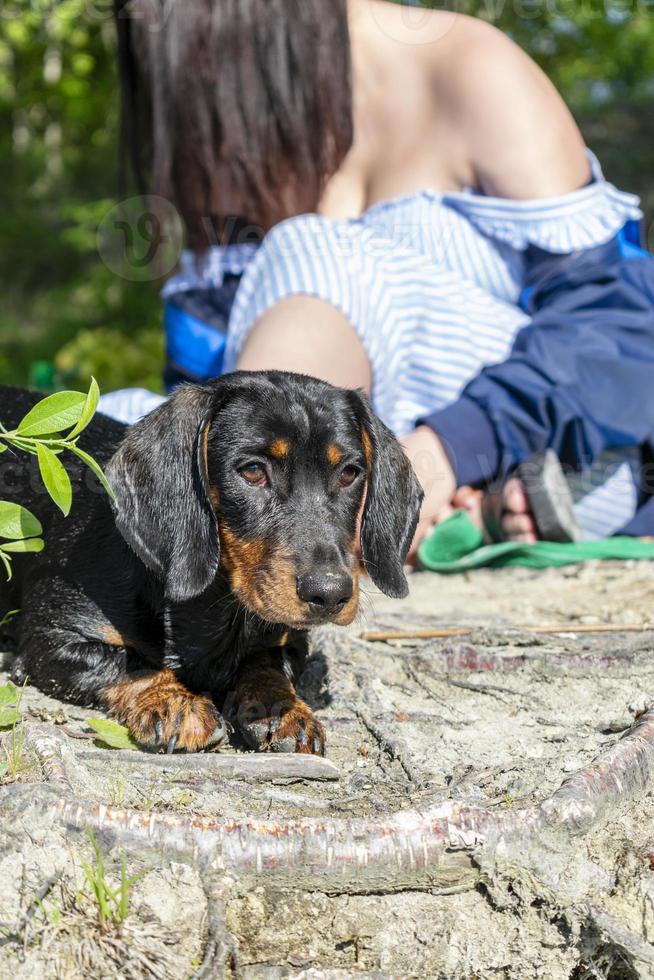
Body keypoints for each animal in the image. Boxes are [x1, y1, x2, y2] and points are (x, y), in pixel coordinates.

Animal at [0, 372, 426, 756]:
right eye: (252, 470)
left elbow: (265, 662)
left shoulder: (290, 640)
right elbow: (130, 661)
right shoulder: (52, 638)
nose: (330, 594)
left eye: (350, 473)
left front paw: (283, 710)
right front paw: (177, 703)